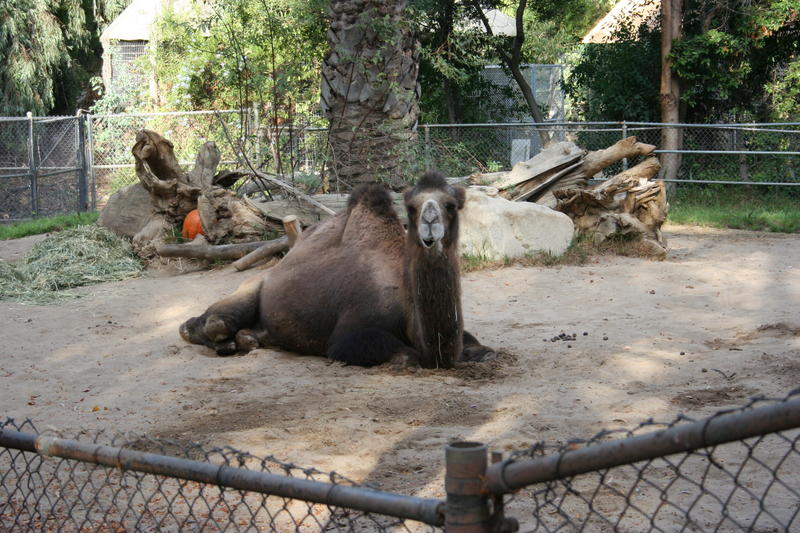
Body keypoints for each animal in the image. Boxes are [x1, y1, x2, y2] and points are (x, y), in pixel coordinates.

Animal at [179, 171, 494, 368]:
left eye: (451, 205)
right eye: (412, 207)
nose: (430, 223)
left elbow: (483, 348)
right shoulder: (349, 334)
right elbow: (405, 355)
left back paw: (247, 340)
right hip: (250, 288)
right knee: (212, 323)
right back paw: (218, 340)